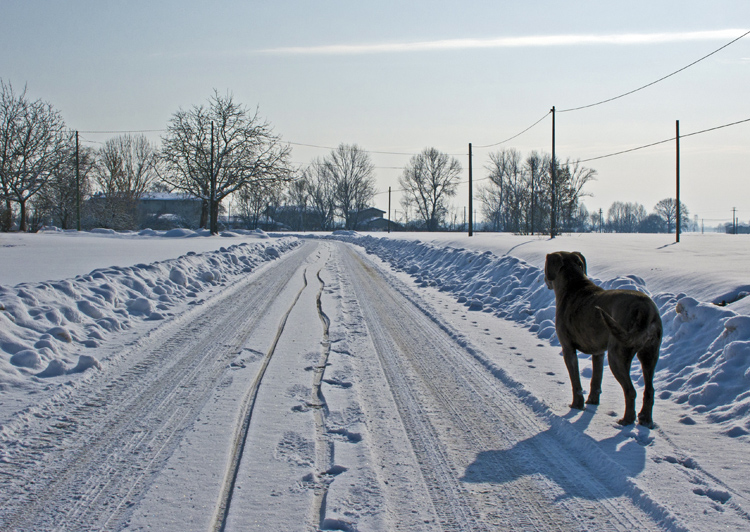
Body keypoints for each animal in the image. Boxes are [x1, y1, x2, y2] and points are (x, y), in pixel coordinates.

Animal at [548, 250, 664, 428]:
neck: (573, 285)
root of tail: (644, 309)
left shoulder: (568, 349)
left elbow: (575, 381)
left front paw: (576, 404)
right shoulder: (598, 352)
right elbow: (596, 378)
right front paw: (592, 401)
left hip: (617, 354)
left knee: (630, 390)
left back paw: (626, 419)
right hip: (650, 353)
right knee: (649, 390)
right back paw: (645, 419)